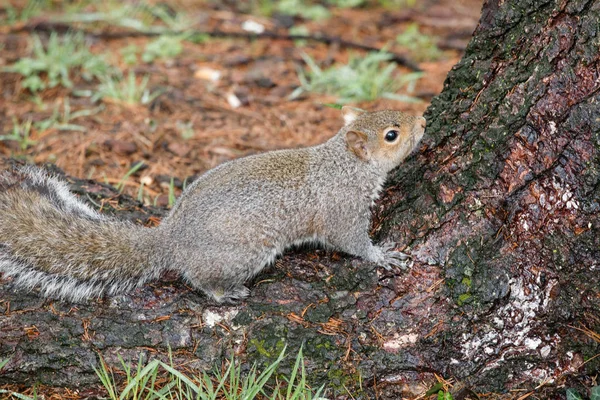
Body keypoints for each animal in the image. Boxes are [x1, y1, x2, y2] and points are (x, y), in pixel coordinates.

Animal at [0, 106, 426, 304]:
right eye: (392, 134)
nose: (423, 122)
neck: (344, 163)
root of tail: (171, 239)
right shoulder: (342, 207)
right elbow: (351, 242)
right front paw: (381, 255)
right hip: (242, 252)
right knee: (202, 280)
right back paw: (226, 293)